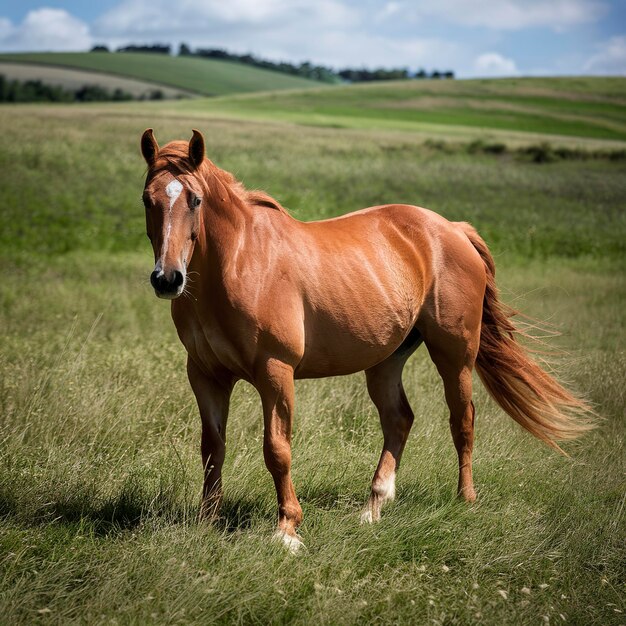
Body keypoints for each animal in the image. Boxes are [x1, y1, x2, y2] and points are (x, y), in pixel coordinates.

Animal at [140, 128, 588, 552]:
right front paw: (208, 522)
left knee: (462, 419)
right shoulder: (205, 375)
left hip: (455, 354)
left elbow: (277, 449)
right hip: (386, 361)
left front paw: (288, 530)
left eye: (195, 200)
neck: (240, 263)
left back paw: (466, 499)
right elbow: (212, 448)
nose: (168, 279)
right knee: (399, 419)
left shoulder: (275, 371)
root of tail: (454, 230)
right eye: (148, 199)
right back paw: (374, 507)